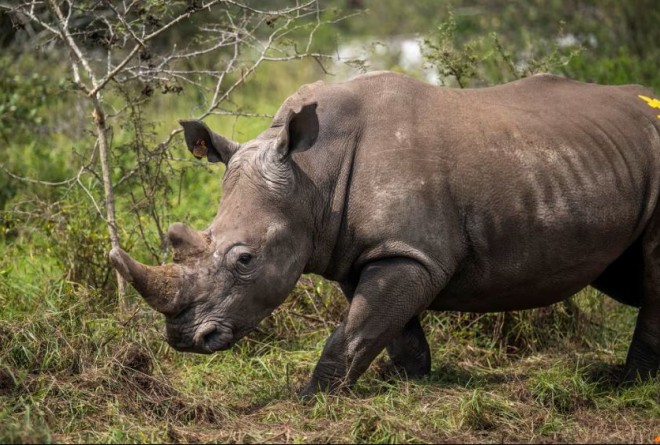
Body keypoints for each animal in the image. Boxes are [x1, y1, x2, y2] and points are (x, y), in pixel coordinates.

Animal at [110, 71, 660, 395]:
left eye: (245, 259)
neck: (313, 174)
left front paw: (313, 398)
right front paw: (409, 381)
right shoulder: (369, 250)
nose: (185, 339)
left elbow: (356, 329)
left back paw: (629, 385)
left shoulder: (411, 253)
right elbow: (387, 326)